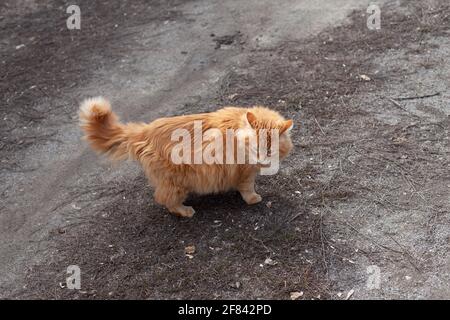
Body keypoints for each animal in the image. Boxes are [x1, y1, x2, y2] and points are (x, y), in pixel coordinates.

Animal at [79, 97, 294, 218]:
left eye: (270, 151)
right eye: (256, 149)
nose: (262, 160)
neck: (238, 129)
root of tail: (144, 131)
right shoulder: (245, 172)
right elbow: (248, 189)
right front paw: (253, 198)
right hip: (176, 183)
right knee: (165, 199)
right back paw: (185, 211)